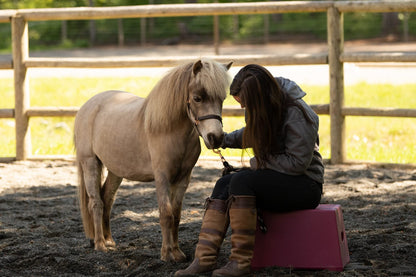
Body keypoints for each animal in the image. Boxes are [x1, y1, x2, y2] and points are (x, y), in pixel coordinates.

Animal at [73, 58, 232, 260]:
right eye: (197, 98)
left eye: (222, 99)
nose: (216, 138)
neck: (168, 130)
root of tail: (88, 106)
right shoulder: (162, 177)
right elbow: (166, 214)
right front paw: (166, 254)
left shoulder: (183, 179)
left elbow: (176, 215)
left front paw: (177, 252)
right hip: (90, 163)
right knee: (96, 202)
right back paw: (100, 244)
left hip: (116, 171)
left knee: (107, 198)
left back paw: (109, 241)